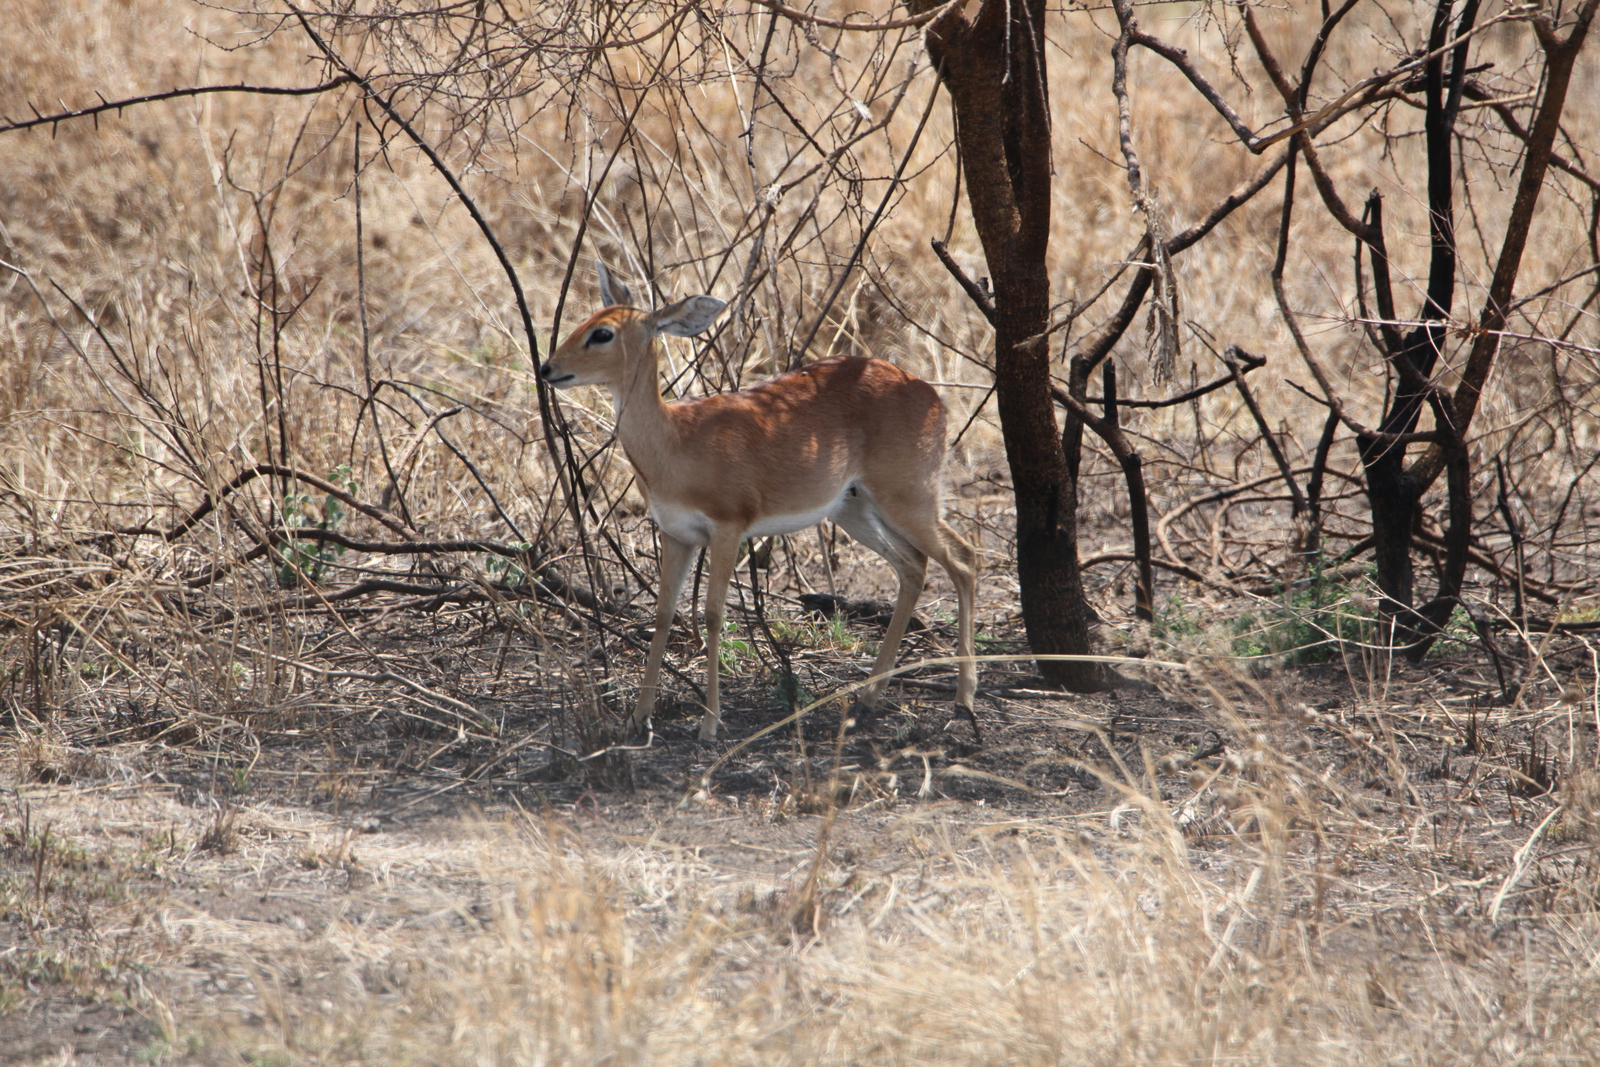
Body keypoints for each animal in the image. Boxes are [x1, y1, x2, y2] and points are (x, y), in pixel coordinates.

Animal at [544, 262, 979, 739]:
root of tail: (930, 393)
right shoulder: (677, 535)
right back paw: (866, 700)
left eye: (602, 333)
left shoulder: (728, 528)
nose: (548, 368)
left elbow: (713, 615)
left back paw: (963, 701)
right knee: (914, 567)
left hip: (908, 497)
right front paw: (639, 718)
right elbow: (663, 613)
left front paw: (710, 724)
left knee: (963, 559)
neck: (675, 441)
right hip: (854, 509)